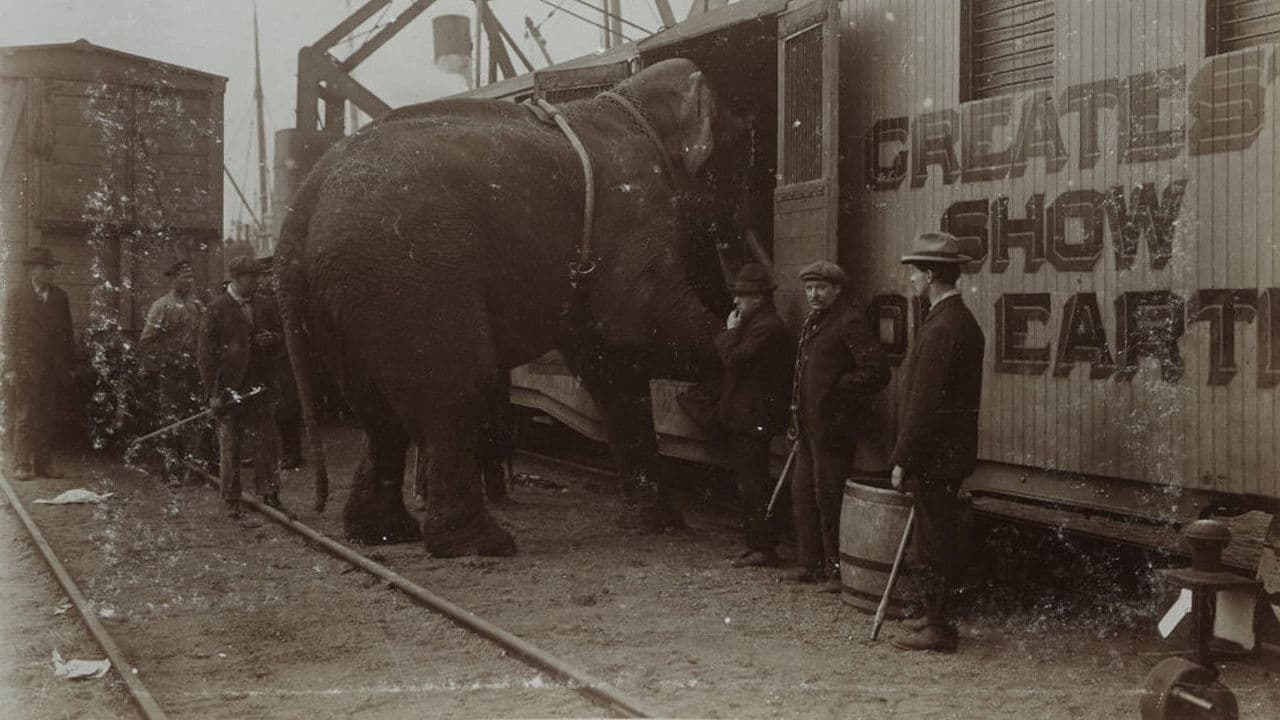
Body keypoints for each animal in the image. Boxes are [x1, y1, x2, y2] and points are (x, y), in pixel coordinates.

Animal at [276, 58, 750, 557]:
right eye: (746, 145)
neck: (630, 101)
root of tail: (299, 209)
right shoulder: (632, 207)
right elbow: (640, 317)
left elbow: (613, 367)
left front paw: (658, 524)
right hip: (406, 275)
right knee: (458, 386)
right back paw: (480, 543)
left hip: (345, 293)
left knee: (377, 410)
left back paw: (382, 533)